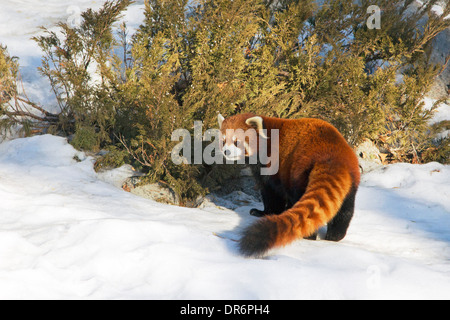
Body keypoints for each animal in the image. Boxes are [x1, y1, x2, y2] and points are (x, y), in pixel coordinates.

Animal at [218, 112, 362, 258]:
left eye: (237, 142)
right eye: (223, 141)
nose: (226, 152)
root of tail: (332, 158)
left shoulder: (272, 166)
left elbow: (272, 195)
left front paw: (264, 212)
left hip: (300, 173)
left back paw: (308, 236)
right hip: (351, 180)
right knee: (345, 210)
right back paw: (335, 236)